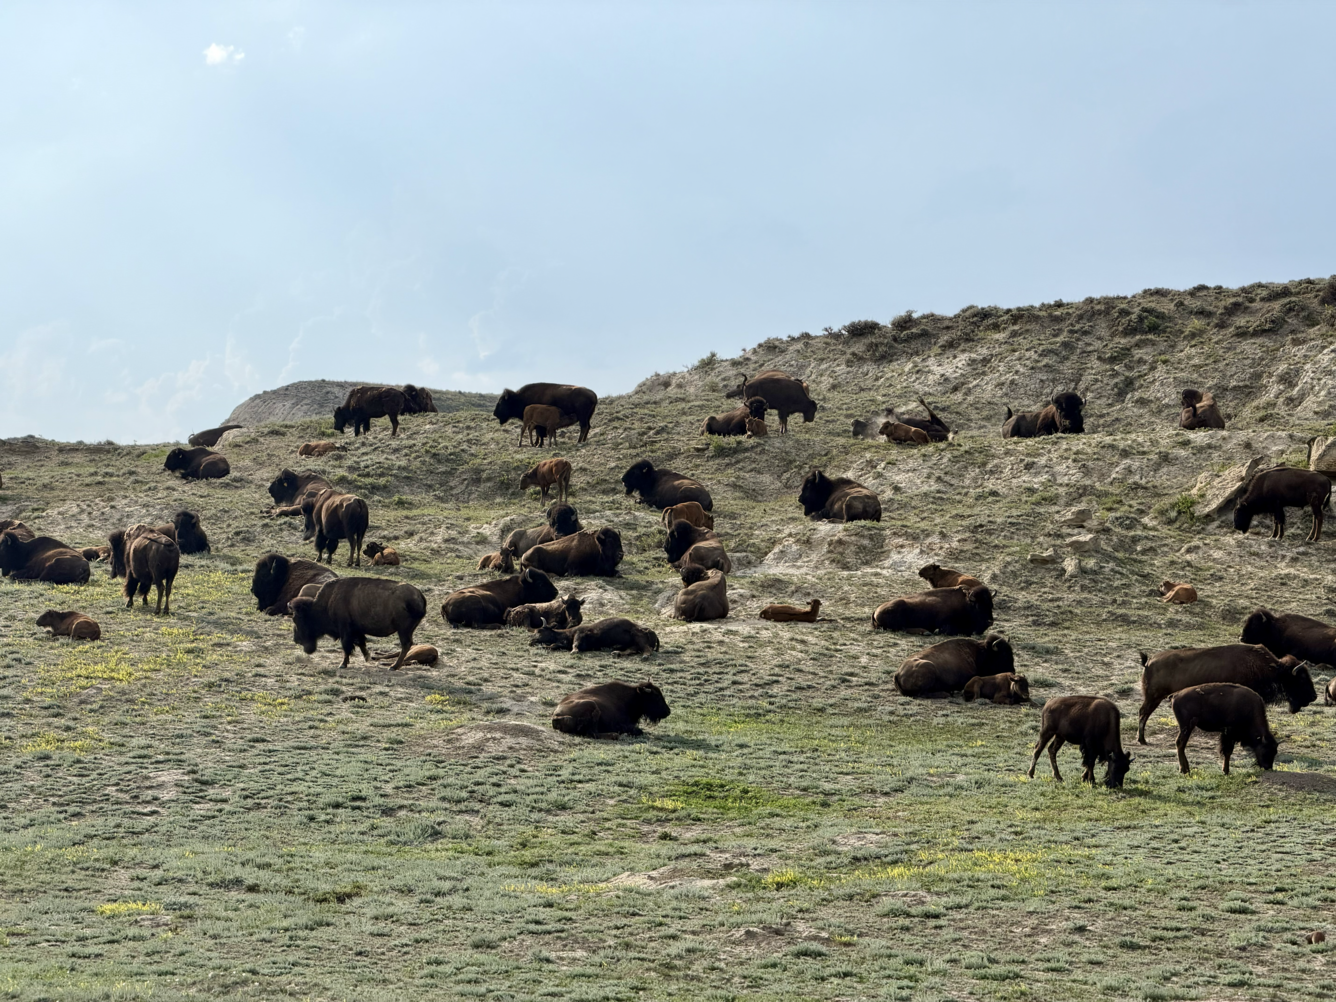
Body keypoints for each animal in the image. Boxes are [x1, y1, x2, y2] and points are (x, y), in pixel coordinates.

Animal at [289, 577, 428, 669]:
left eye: (298, 619)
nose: (296, 640)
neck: (326, 603)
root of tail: (419, 596)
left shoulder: (345, 631)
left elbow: (347, 647)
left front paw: (342, 665)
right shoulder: (357, 630)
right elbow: (361, 643)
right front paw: (368, 657)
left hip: (403, 630)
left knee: (406, 645)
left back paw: (393, 667)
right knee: (407, 645)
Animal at [1137, 644, 1316, 743]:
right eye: (1301, 679)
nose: (1314, 696)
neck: (1273, 670)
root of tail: (1149, 661)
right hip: (1153, 697)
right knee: (1143, 713)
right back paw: (1142, 740)